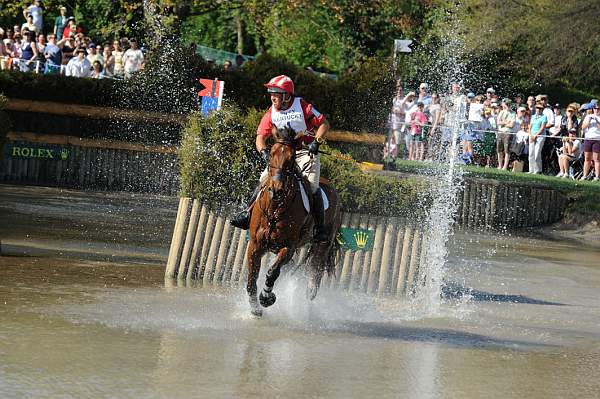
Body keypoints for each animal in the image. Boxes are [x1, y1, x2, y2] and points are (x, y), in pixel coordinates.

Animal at [243, 126, 338, 318]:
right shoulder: (255, 245)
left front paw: (266, 298)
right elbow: (251, 278)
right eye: (271, 154)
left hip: (321, 248)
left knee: (313, 278)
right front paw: (255, 307)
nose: (276, 190)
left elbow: (272, 271)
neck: (275, 208)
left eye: (292, 157)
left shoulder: (288, 247)